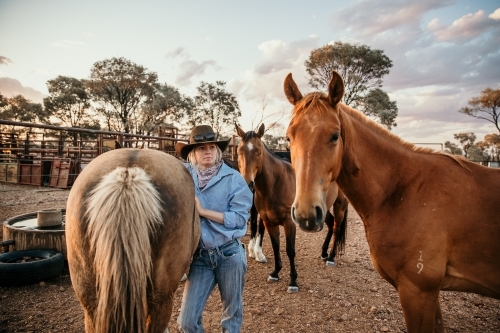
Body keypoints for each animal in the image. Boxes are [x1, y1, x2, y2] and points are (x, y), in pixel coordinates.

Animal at [235, 122, 348, 290]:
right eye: (239, 151)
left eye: (258, 151)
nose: (247, 184)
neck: (276, 184)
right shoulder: (269, 222)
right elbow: (276, 247)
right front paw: (275, 273)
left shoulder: (289, 222)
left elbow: (290, 250)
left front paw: (293, 281)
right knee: (330, 224)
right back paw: (324, 254)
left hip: (340, 206)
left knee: (336, 228)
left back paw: (331, 258)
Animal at [284, 71, 500, 330]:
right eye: (288, 138)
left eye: (334, 136)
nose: (305, 214)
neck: (403, 190)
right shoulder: (430, 293)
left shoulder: (418, 291)